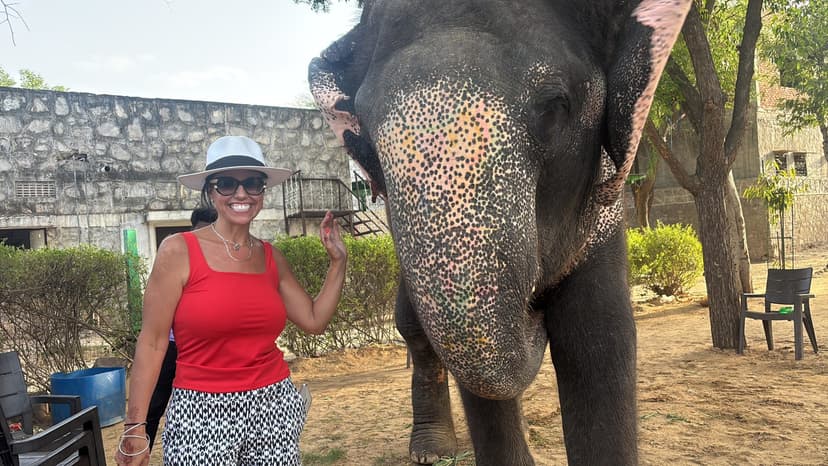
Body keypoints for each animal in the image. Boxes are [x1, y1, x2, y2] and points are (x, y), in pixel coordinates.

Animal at [309, 1, 690, 464]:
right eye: (365, 135)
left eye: (555, 106)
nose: (535, 312)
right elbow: (478, 380)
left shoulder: (603, 214)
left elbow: (598, 338)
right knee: (413, 327)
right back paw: (430, 450)